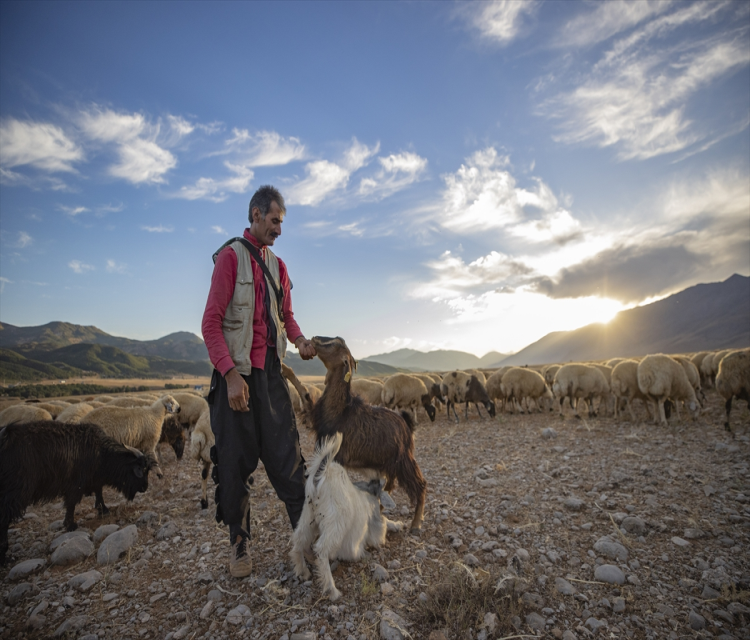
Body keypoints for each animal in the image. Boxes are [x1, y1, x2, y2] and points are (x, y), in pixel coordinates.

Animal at [0, 422, 151, 564]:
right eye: (142, 469)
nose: (145, 487)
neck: (102, 453)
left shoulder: (93, 479)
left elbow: (99, 492)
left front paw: (103, 509)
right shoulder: (76, 484)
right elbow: (72, 503)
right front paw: (70, 525)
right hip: (13, 493)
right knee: (4, 519)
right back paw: (5, 556)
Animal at [310, 336, 428, 528]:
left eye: (335, 344)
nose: (314, 339)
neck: (341, 411)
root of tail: (406, 424)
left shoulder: (337, 456)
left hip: (403, 460)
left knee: (420, 484)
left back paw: (416, 524)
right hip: (389, 463)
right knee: (389, 486)